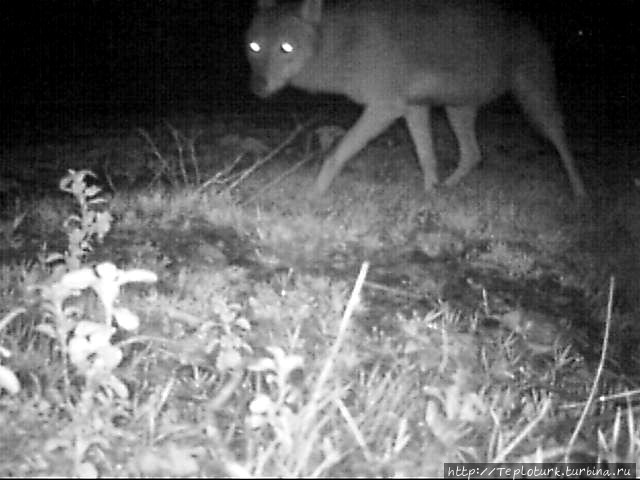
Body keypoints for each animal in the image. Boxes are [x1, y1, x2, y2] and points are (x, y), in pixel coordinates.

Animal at [248, 0, 588, 199]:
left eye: (286, 48)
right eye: (254, 46)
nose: (258, 87)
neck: (344, 42)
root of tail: (532, 26)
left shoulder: (385, 109)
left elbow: (336, 153)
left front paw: (313, 195)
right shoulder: (414, 108)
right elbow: (427, 156)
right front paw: (430, 193)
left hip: (536, 103)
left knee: (562, 142)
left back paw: (580, 193)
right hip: (456, 110)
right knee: (473, 154)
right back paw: (448, 189)